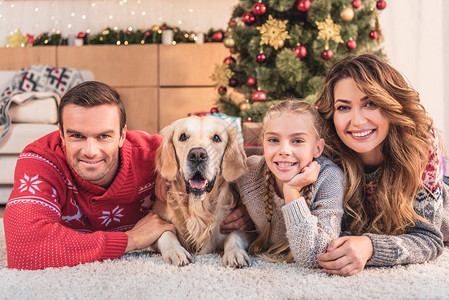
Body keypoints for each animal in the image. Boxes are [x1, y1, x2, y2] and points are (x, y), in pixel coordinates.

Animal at [153, 116, 252, 268]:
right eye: (182, 136)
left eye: (216, 138)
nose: (197, 155)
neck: (198, 206)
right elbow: (166, 233)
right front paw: (176, 251)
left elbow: (234, 235)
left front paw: (235, 253)